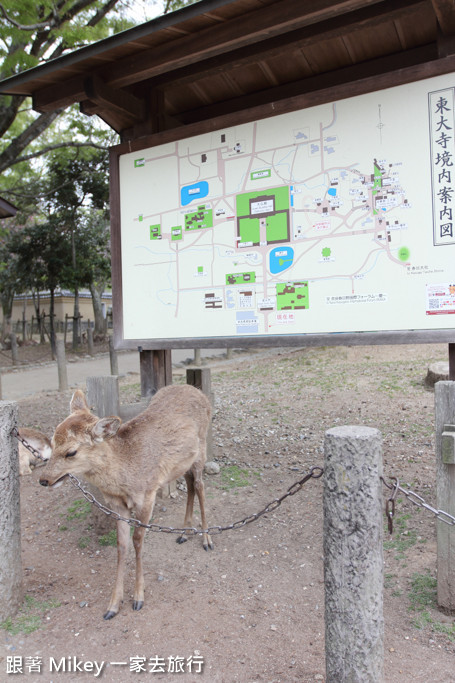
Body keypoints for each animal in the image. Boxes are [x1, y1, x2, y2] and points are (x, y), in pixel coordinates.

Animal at [39, 384, 214, 620]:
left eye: (71, 452)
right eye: (52, 441)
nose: (44, 479)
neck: (124, 476)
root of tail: (197, 390)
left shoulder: (147, 495)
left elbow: (138, 541)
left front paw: (138, 598)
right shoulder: (117, 505)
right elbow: (121, 544)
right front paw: (113, 605)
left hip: (201, 449)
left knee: (200, 486)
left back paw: (206, 539)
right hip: (183, 463)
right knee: (190, 485)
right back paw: (184, 533)